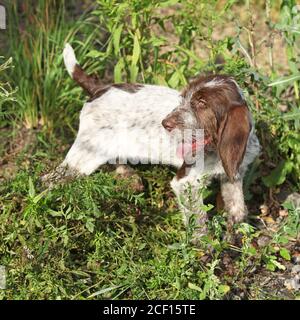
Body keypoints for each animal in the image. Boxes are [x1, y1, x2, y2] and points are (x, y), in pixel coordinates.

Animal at [42, 43, 260, 238]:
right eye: (184, 98)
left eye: (202, 103)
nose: (166, 123)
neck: (215, 151)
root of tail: (100, 89)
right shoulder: (186, 183)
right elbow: (198, 224)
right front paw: (204, 250)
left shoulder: (233, 175)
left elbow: (238, 209)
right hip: (84, 157)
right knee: (47, 181)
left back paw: (127, 175)